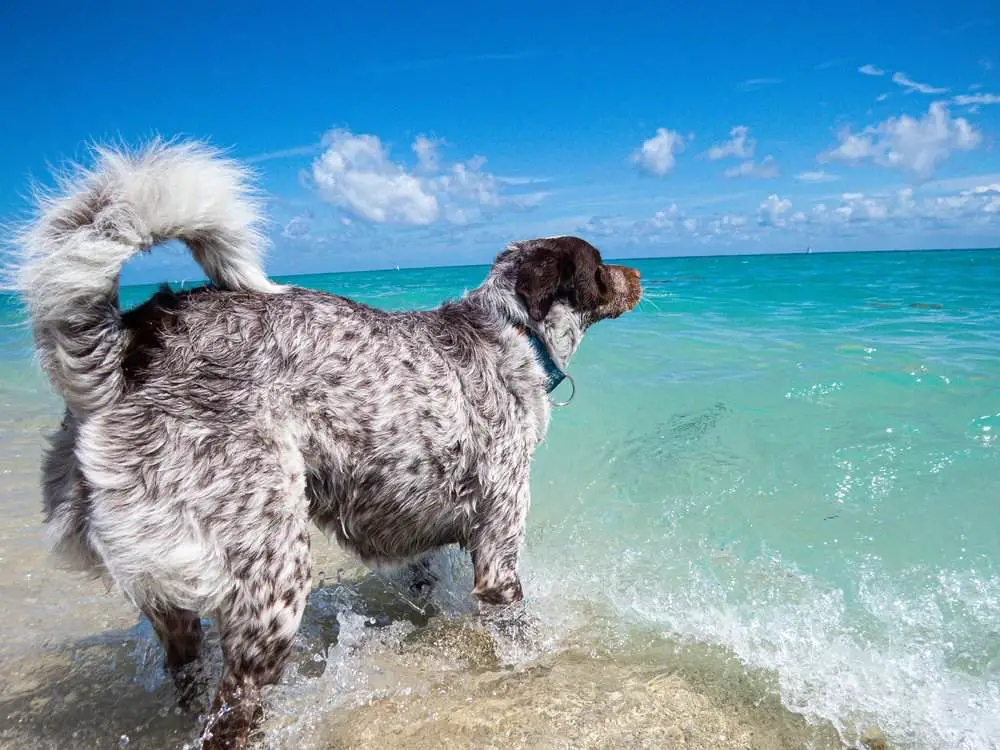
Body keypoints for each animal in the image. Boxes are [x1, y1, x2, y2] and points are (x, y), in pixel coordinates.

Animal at [9, 140, 640, 748]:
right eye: (600, 263)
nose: (639, 274)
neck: (511, 332)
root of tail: (131, 340)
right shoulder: (498, 554)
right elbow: (521, 637)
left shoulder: (423, 540)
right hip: (274, 580)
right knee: (230, 716)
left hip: (175, 600)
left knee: (189, 681)